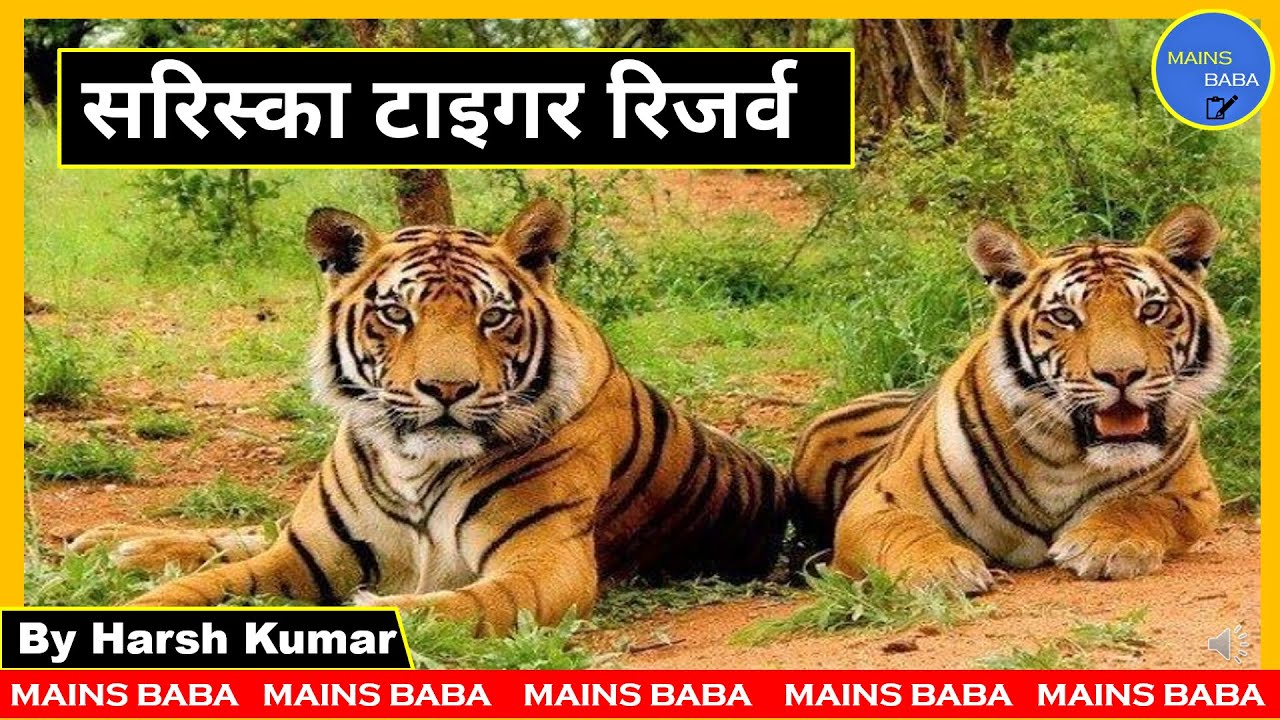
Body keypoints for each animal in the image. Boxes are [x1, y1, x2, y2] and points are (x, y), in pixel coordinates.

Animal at [71, 199, 790, 633]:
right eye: (397, 313)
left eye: (492, 317)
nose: (447, 387)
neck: (414, 463)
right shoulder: (305, 555)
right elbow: (200, 588)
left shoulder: (545, 564)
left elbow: (452, 605)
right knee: (253, 532)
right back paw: (115, 541)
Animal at [792, 205, 1229, 593]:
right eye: (1064, 316)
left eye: (1152, 310)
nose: (1121, 374)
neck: (1062, 456)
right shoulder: (877, 501)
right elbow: (905, 530)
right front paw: (939, 569)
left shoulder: (1195, 494)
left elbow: (1141, 505)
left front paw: (1107, 544)